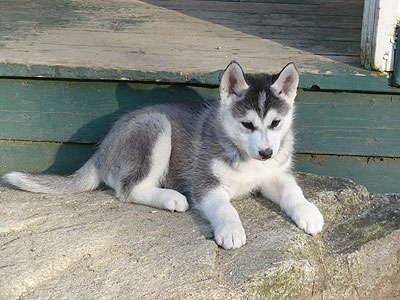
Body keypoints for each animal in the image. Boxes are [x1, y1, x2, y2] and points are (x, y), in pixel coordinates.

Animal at [2, 61, 324, 248]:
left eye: (276, 123)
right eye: (247, 125)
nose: (266, 152)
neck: (241, 152)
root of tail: (102, 149)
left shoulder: (275, 174)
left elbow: (293, 192)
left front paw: (308, 212)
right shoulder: (204, 184)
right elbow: (225, 208)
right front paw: (232, 230)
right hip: (156, 127)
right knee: (128, 189)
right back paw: (171, 198)